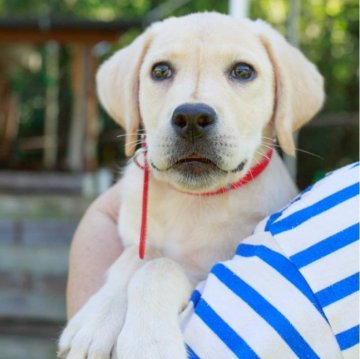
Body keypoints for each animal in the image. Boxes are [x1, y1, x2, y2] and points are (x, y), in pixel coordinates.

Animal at [59, 11, 324, 359]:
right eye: (160, 71)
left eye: (243, 71)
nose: (192, 118)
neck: (191, 202)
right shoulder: (135, 234)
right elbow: (138, 256)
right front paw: (96, 320)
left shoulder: (210, 267)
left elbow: (159, 269)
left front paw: (150, 345)